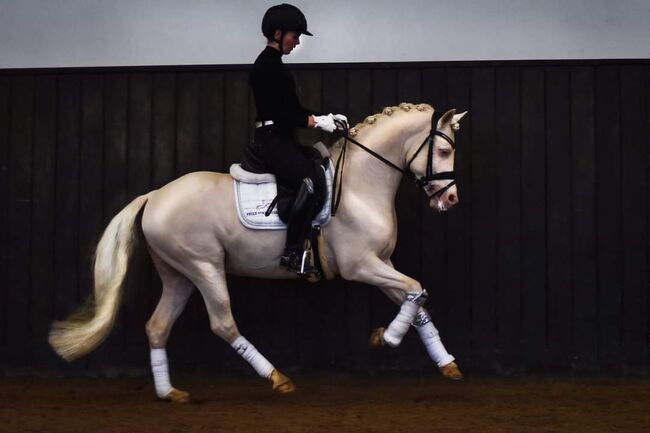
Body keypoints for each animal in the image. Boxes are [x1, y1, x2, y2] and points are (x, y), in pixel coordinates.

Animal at [50, 101, 466, 402]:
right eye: (445, 150)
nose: (450, 199)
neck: (359, 185)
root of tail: (154, 196)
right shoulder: (361, 265)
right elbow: (415, 288)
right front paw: (388, 338)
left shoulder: (382, 263)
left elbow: (417, 298)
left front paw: (446, 363)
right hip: (204, 266)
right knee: (222, 323)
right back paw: (277, 378)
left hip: (179, 274)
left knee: (157, 326)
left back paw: (170, 393)